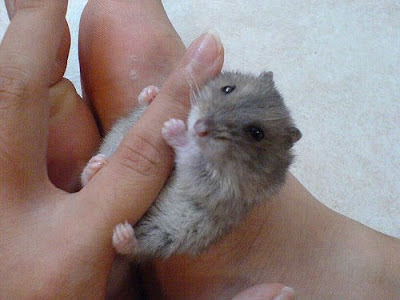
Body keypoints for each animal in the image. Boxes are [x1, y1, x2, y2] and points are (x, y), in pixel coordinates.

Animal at [80, 71, 300, 260]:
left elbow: (189, 154)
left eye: (256, 133)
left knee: (134, 249)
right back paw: (97, 165)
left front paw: (171, 126)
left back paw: (122, 233)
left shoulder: (216, 185)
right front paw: (151, 93)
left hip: (166, 236)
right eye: (228, 88)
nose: (199, 127)